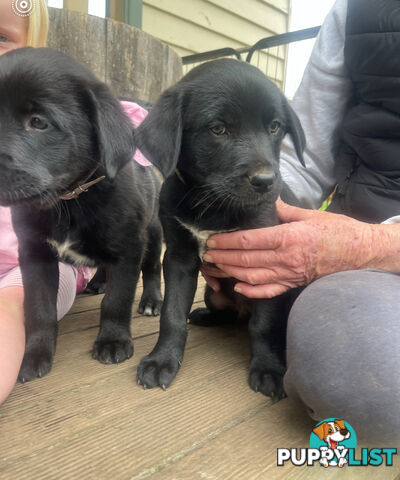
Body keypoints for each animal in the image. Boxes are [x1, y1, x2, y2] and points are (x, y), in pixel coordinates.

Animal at [0, 47, 163, 380]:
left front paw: (113, 341)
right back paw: (98, 281)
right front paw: (34, 355)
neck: (70, 201)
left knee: (153, 268)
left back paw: (152, 300)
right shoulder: (35, 255)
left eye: (39, 122)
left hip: (152, 233)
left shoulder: (129, 249)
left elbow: (117, 300)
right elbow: (39, 308)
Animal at [136, 59, 304, 398]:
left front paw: (268, 369)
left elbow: (264, 324)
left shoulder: (268, 264)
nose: (266, 182)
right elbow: (171, 314)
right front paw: (162, 360)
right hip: (213, 293)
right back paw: (206, 315)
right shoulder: (179, 257)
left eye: (274, 127)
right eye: (218, 128)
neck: (214, 205)